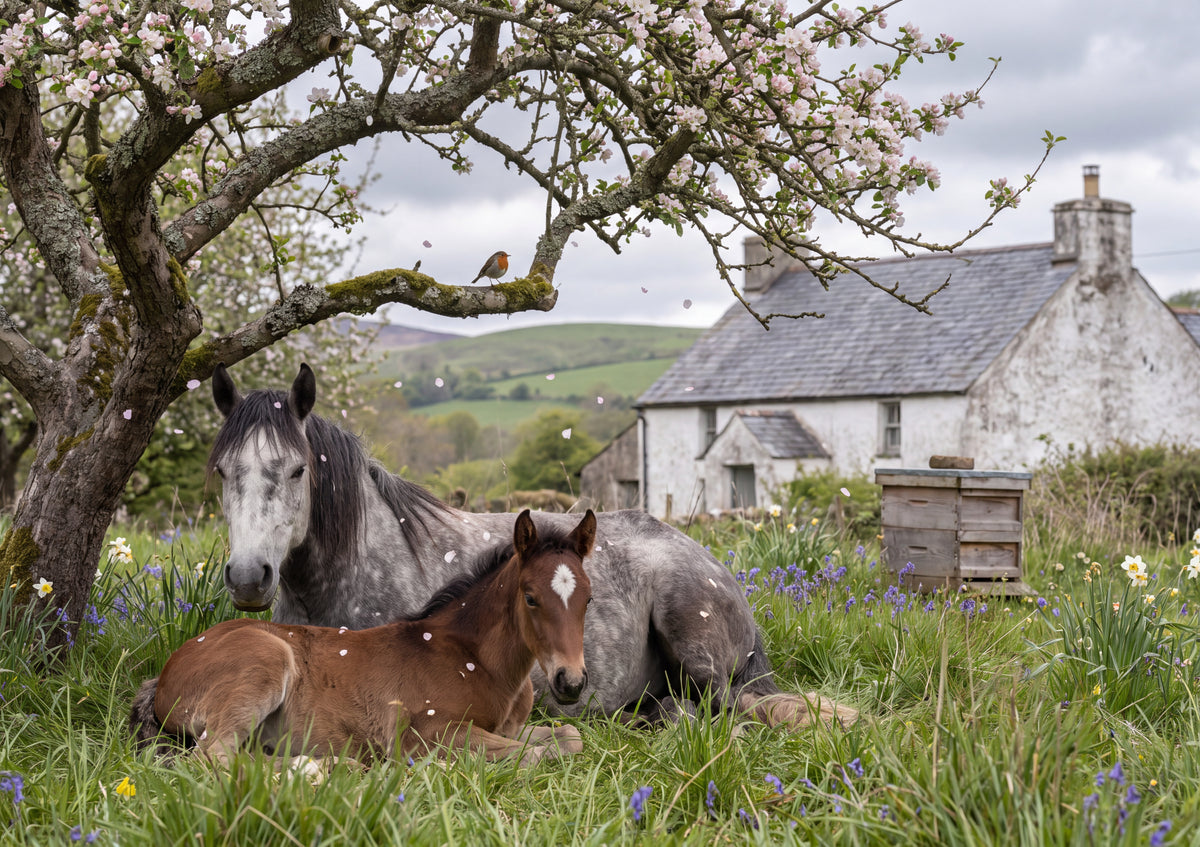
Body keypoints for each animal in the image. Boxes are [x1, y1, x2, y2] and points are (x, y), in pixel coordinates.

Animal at [130, 509, 596, 766]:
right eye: (530, 597)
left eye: (589, 598)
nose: (570, 682)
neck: (476, 660)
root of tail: (165, 674)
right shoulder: (425, 733)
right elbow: (533, 754)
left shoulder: (512, 728)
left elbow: (569, 739)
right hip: (264, 664)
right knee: (213, 758)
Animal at [206, 362, 856, 727]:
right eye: (221, 471)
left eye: (297, 471)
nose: (248, 577)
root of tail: (707, 559)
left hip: (697, 651)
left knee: (721, 709)